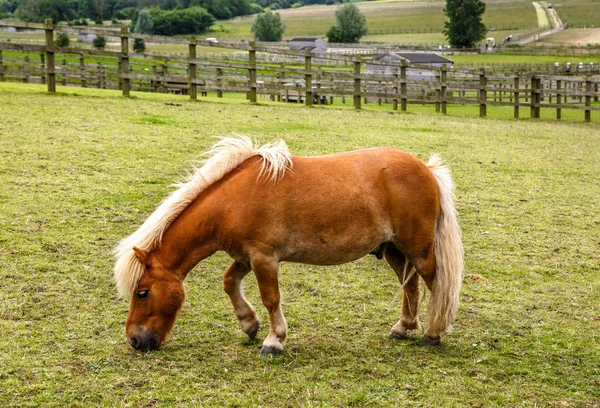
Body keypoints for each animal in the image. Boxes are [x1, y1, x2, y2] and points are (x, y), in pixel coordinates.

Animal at [117, 136, 464, 354]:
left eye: (142, 292)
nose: (135, 340)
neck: (233, 201)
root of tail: (427, 170)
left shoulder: (264, 258)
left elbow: (271, 298)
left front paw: (274, 341)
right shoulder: (246, 256)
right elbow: (229, 282)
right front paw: (249, 324)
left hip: (419, 250)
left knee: (436, 284)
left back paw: (432, 333)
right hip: (393, 250)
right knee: (411, 286)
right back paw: (403, 327)